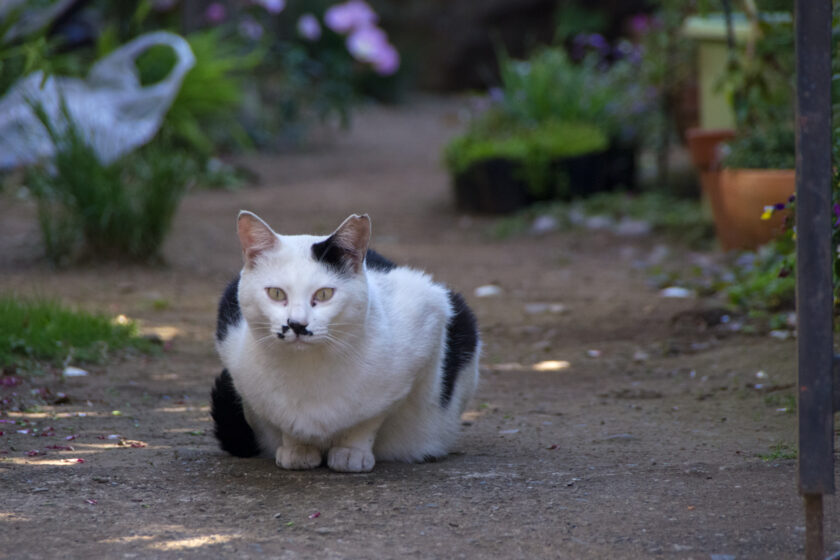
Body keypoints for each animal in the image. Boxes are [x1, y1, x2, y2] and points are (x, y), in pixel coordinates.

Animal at [210, 211, 480, 472]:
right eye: (276, 293)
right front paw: (297, 449)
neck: (308, 369)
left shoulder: (428, 319)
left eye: (324, 294)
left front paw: (352, 452)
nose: (297, 324)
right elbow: (284, 421)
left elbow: (367, 422)